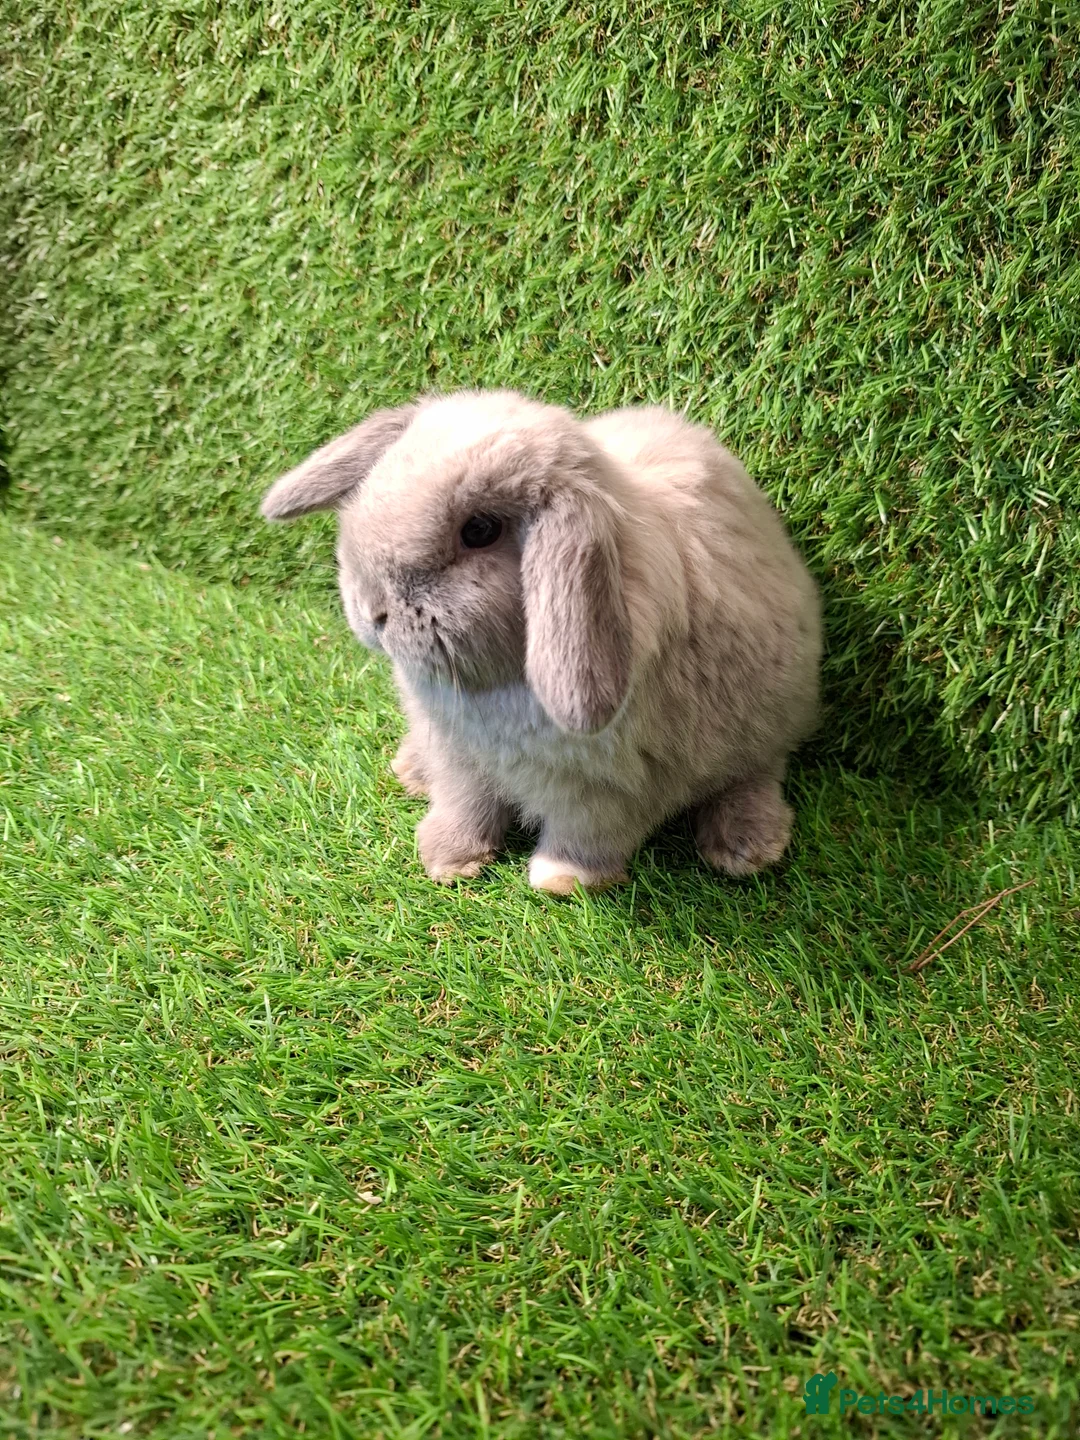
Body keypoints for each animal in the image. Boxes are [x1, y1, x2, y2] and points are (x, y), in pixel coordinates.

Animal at [260, 390, 821, 893]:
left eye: (480, 530)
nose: (371, 610)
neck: (497, 686)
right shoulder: (460, 757)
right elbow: (464, 805)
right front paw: (447, 859)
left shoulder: (611, 788)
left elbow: (589, 834)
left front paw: (563, 880)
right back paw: (411, 771)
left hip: (765, 722)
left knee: (757, 772)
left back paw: (745, 846)